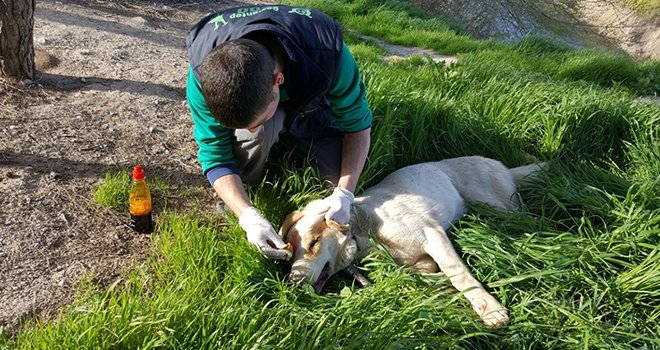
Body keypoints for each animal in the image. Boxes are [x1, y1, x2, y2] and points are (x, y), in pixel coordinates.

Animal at [278, 156, 548, 328]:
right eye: (292, 253)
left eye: (314, 243)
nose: (292, 282)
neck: (363, 230)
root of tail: (501, 165)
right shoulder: (420, 260)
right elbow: (422, 275)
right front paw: (440, 283)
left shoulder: (432, 234)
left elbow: (458, 274)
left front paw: (488, 308)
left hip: (496, 206)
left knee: (528, 219)